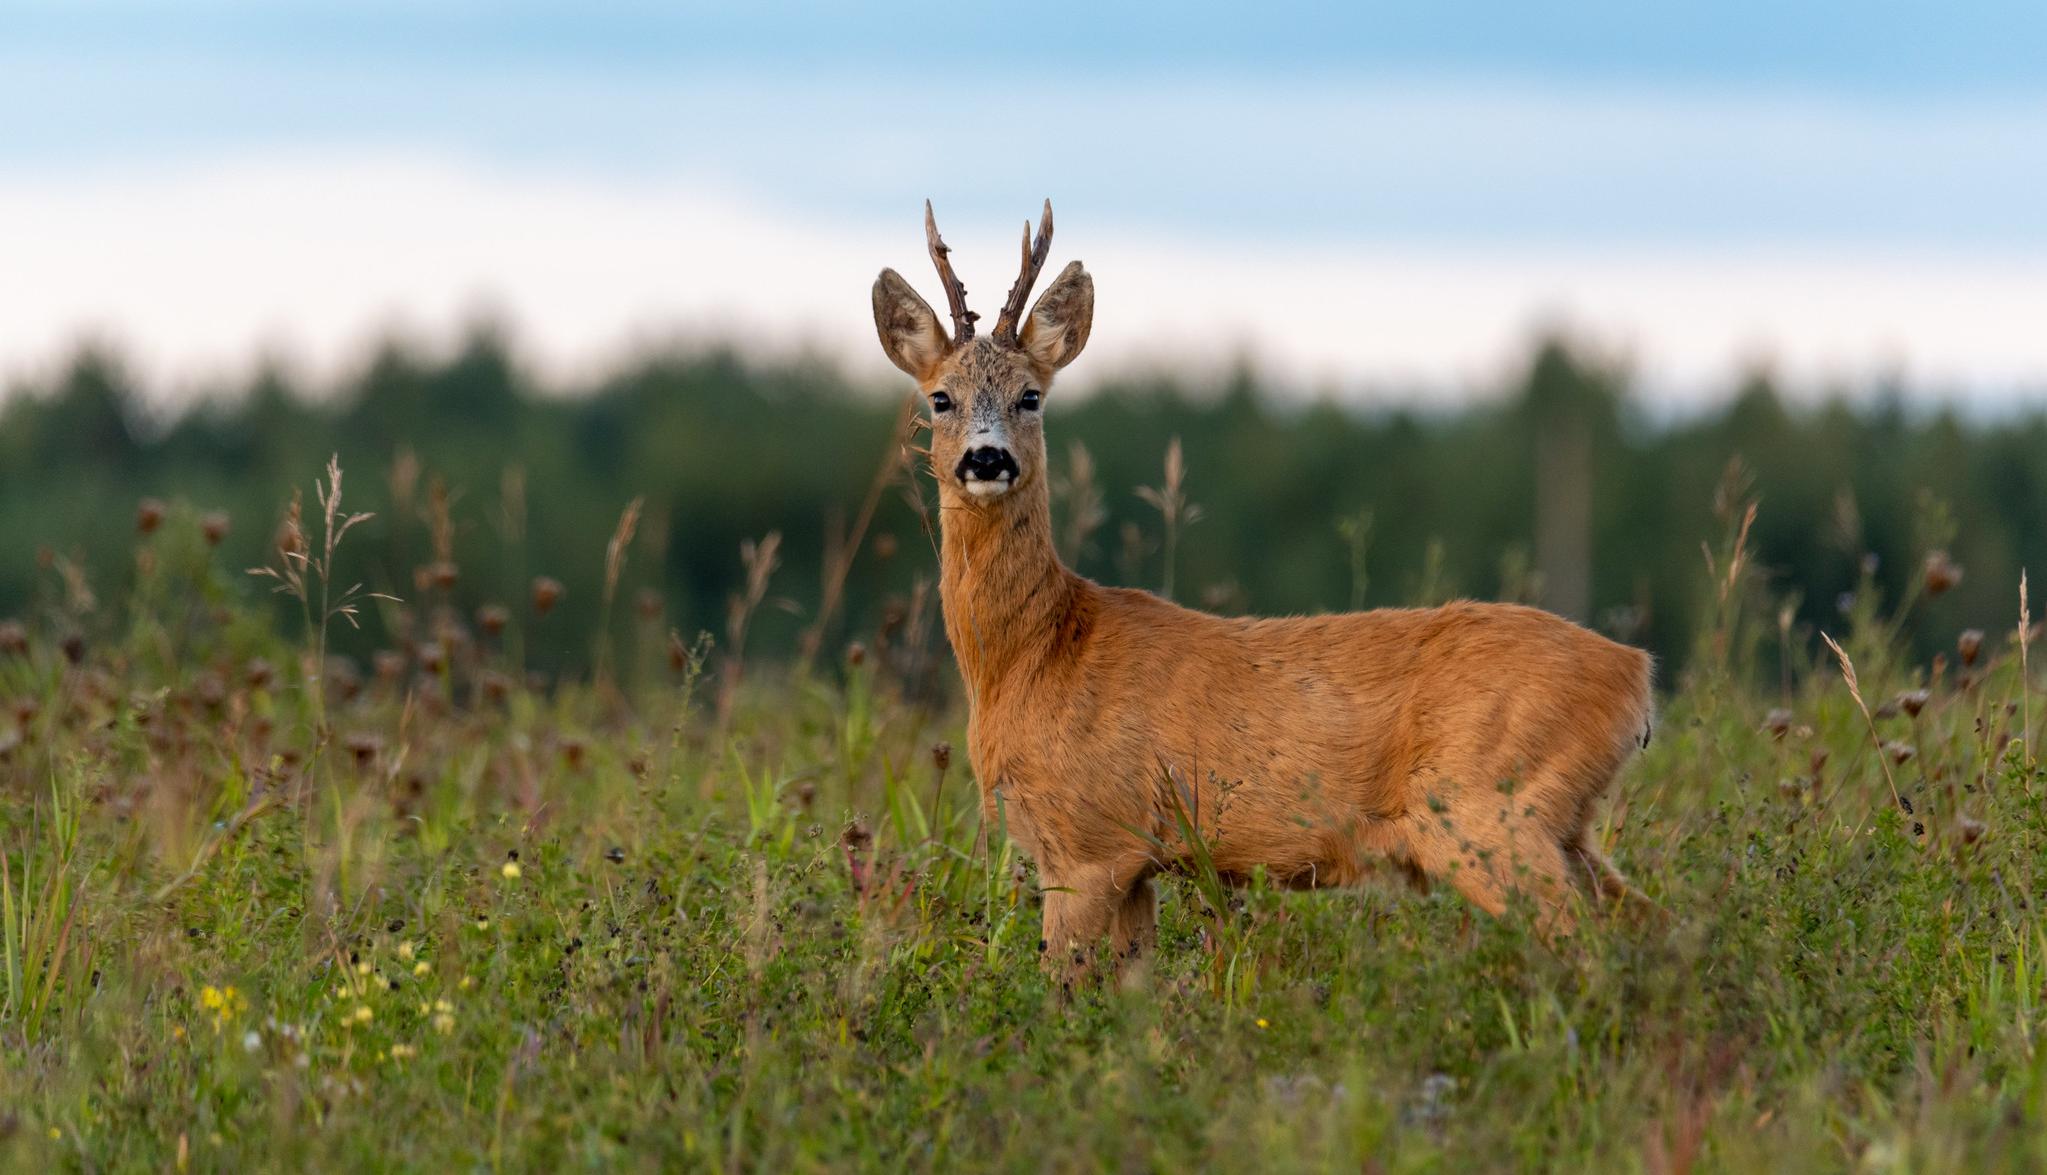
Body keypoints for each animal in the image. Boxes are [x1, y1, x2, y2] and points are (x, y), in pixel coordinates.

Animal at [872, 200, 1653, 974]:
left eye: (1030, 396)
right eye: (940, 398)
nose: (987, 459)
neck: (1030, 656)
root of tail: (1636, 674)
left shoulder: (1089, 840)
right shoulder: (1133, 862)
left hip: (1489, 814)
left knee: (1589, 947)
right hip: (1566, 827)